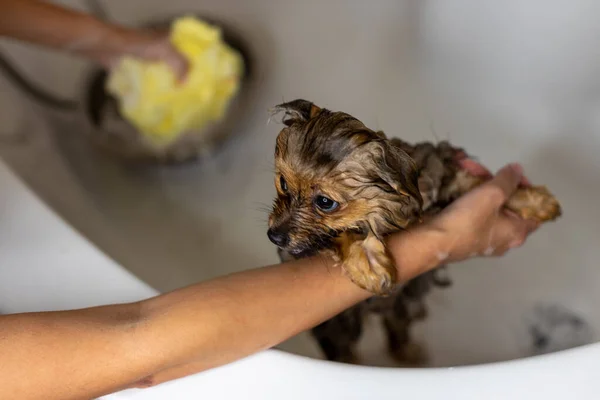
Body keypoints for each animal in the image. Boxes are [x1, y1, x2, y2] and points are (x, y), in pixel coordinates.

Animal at [268, 100, 564, 366]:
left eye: (325, 202)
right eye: (283, 183)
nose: (275, 236)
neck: (391, 209)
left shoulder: (439, 174)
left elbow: (475, 182)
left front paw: (535, 200)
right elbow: (337, 235)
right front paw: (368, 262)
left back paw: (408, 353)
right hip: (340, 322)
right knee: (345, 348)